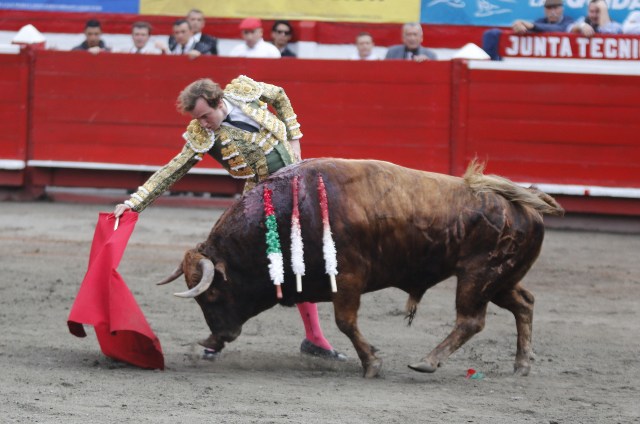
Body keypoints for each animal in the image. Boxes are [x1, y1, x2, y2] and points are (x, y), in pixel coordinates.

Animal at [158, 157, 564, 376]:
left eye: (211, 295)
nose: (221, 335)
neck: (291, 210)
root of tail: (524, 203)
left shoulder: (348, 279)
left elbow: (346, 323)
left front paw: (372, 362)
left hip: (478, 276)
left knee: (471, 320)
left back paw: (426, 362)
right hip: (499, 279)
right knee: (523, 303)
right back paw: (521, 365)